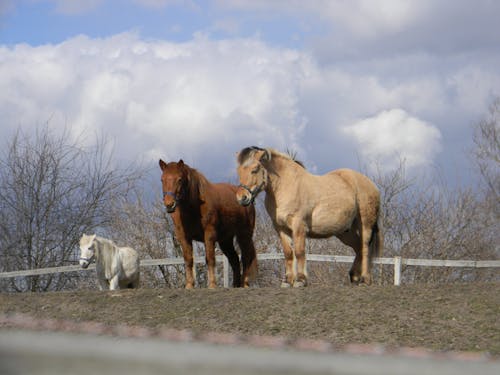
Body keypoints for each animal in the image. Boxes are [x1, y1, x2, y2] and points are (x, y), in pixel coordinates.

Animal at [158, 160, 258, 290]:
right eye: (162, 179)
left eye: (179, 179)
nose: (169, 204)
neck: (193, 207)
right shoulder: (184, 237)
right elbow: (188, 259)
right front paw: (189, 285)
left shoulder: (209, 234)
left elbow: (210, 258)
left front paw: (212, 284)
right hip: (225, 241)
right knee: (234, 260)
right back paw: (235, 285)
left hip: (244, 235)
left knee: (246, 257)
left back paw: (244, 284)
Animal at [235, 147, 382, 288]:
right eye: (239, 171)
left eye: (254, 169)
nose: (242, 198)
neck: (286, 186)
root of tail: (371, 185)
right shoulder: (280, 228)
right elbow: (288, 253)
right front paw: (287, 281)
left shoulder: (298, 225)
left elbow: (299, 252)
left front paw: (301, 280)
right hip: (345, 232)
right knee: (358, 248)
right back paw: (355, 277)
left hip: (365, 225)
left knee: (365, 248)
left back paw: (364, 279)